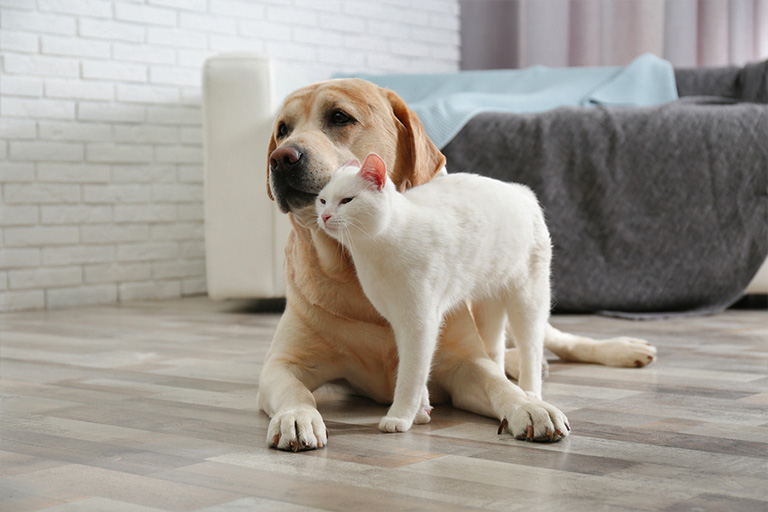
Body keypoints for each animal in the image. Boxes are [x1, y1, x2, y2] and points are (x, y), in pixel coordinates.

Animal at [316, 154, 552, 434]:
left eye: (347, 200)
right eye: (322, 200)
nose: (325, 216)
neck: (375, 249)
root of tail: (521, 190)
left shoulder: (419, 321)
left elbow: (411, 372)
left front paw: (400, 416)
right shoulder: (397, 320)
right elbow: (416, 368)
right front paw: (421, 410)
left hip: (528, 297)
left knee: (531, 348)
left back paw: (531, 393)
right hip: (487, 306)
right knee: (495, 350)